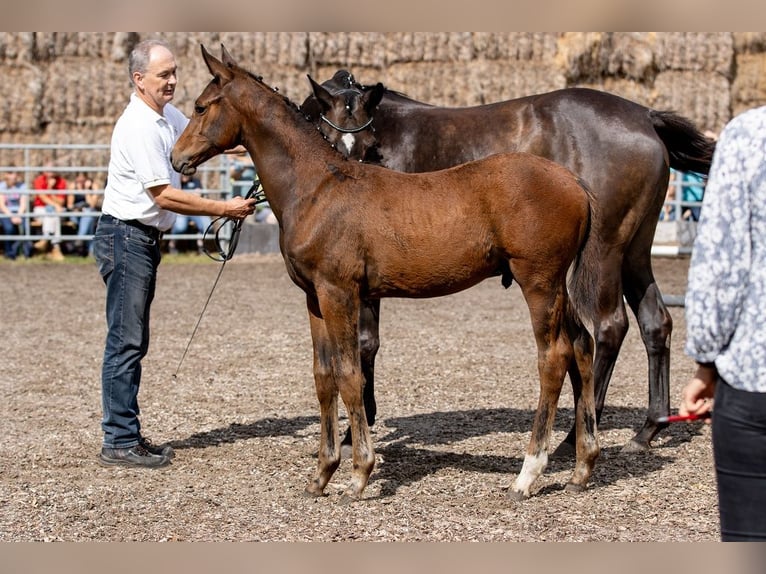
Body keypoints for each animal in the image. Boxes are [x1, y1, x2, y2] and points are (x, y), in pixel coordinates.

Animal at [174, 45, 600, 502]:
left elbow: (349, 374)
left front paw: (359, 474)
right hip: (557, 287)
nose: (177, 158)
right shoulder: (314, 297)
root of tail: (575, 182)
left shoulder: (339, 292)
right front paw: (321, 475)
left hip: (539, 283)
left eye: (200, 106)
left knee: (553, 358)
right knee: (583, 346)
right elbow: (323, 376)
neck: (318, 189)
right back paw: (582, 467)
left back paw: (528, 473)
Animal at [302, 68, 720, 454]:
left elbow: (364, 342)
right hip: (634, 253)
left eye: (369, 144)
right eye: (329, 137)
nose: (346, 182)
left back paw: (574, 435)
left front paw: (353, 431)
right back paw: (648, 429)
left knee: (609, 327)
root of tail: (644, 116)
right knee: (655, 323)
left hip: (605, 252)